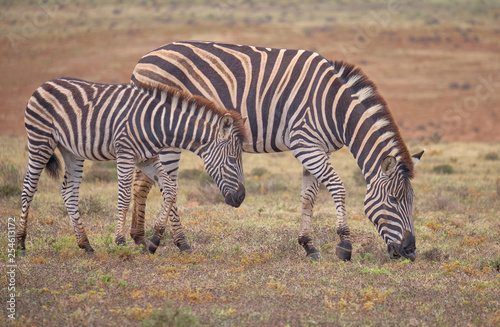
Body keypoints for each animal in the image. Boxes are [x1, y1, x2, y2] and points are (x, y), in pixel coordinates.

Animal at [19, 77, 246, 256]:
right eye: (232, 159)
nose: (242, 197)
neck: (158, 123)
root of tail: (44, 85)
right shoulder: (125, 154)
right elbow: (124, 197)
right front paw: (120, 241)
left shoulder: (147, 158)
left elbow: (171, 190)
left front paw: (154, 241)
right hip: (40, 141)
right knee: (29, 187)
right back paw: (20, 244)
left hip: (71, 151)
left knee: (69, 192)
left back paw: (86, 245)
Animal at [131, 41, 424, 262]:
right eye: (394, 200)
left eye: (411, 201)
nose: (410, 251)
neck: (337, 109)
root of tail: (144, 58)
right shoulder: (305, 144)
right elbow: (338, 187)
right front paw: (344, 245)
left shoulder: (317, 149)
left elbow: (308, 196)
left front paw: (309, 246)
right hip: (167, 135)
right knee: (168, 186)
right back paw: (181, 243)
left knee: (141, 183)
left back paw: (138, 239)